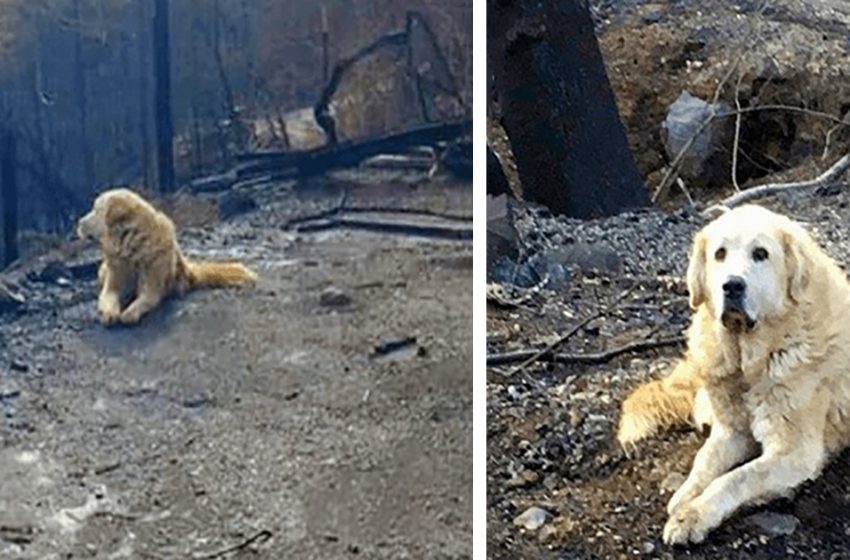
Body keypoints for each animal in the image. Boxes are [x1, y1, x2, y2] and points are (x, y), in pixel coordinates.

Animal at [77, 190, 255, 326]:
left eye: (96, 210)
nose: (78, 222)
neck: (130, 244)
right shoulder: (116, 277)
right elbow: (109, 295)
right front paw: (109, 313)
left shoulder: (152, 285)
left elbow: (144, 299)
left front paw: (129, 313)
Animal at [612, 203, 848, 544]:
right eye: (719, 254)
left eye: (761, 253)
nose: (732, 285)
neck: (750, 359)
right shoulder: (731, 432)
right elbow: (704, 461)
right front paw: (685, 496)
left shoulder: (794, 452)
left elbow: (737, 477)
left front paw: (693, 515)